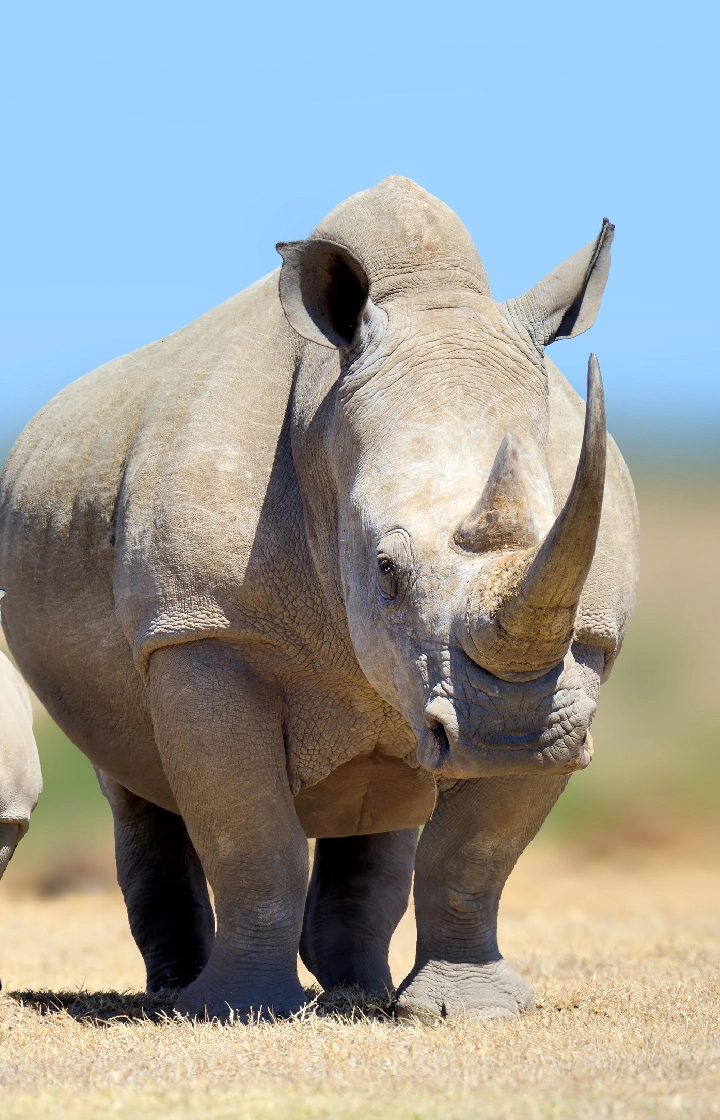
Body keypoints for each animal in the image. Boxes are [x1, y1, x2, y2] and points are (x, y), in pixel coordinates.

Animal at [0, 177, 638, 1020]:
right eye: (386, 569)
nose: (510, 737)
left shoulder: (581, 650)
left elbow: (476, 853)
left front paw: (467, 1011)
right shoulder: (203, 629)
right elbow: (250, 835)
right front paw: (237, 1011)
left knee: (387, 789)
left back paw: (360, 993)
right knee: (135, 777)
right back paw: (176, 994)